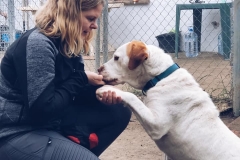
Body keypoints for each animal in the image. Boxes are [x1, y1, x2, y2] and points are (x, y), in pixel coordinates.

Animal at [96, 40, 240, 159]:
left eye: (116, 58)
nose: (98, 69)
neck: (160, 77)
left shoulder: (157, 125)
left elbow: (133, 97)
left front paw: (107, 90)